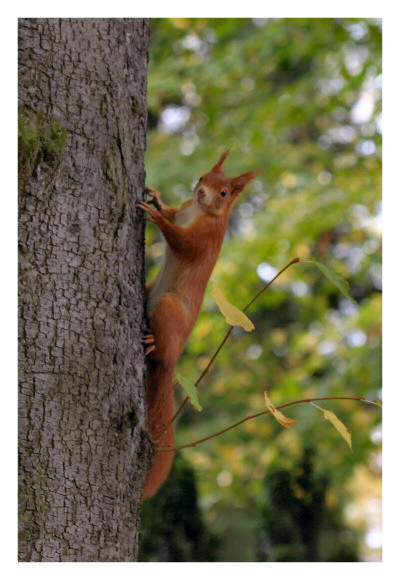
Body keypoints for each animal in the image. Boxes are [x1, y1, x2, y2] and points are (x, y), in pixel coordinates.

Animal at [138, 151, 256, 498]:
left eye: (225, 192)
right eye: (204, 176)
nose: (202, 192)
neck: (200, 211)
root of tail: (172, 361)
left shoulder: (204, 239)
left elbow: (181, 242)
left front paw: (155, 216)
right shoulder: (184, 211)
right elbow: (173, 212)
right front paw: (158, 199)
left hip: (169, 310)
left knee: (161, 353)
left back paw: (153, 344)